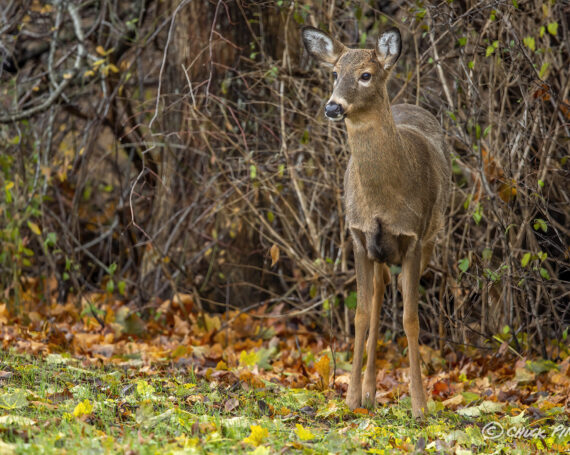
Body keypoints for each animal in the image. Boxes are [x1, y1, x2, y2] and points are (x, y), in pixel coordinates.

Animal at [302, 24, 448, 416]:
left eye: (366, 75)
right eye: (334, 73)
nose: (332, 106)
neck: (383, 199)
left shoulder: (413, 238)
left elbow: (410, 320)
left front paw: (419, 406)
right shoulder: (357, 236)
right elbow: (361, 315)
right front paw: (351, 397)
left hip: (431, 239)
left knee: (394, 295)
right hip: (379, 250)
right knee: (380, 296)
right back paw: (369, 392)